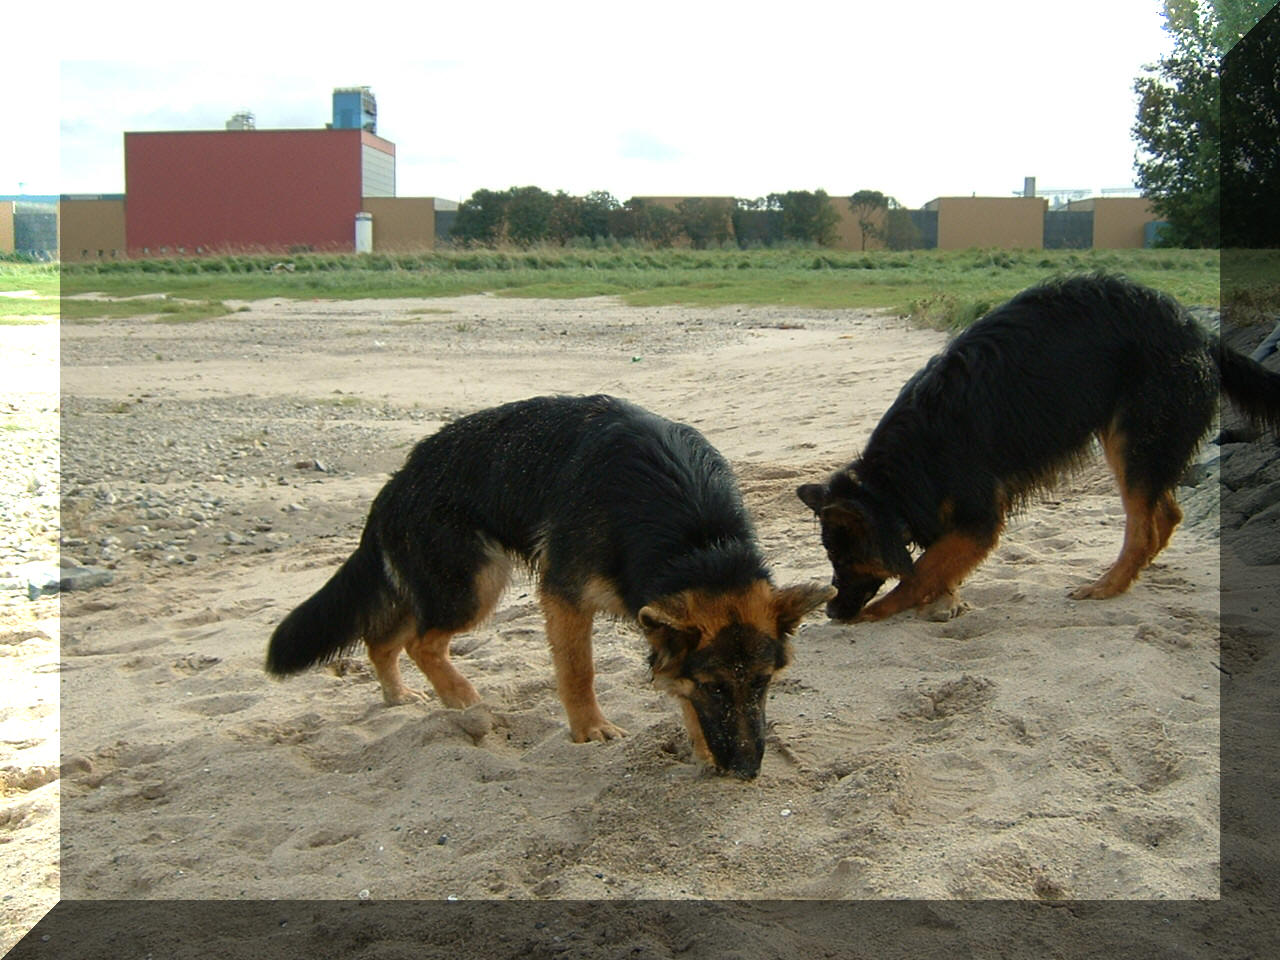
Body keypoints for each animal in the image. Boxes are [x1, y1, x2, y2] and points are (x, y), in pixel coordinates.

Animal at [267, 394, 833, 779]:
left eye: (762, 683)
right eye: (716, 686)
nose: (746, 771)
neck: (697, 542)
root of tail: (395, 482)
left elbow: (672, 682)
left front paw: (698, 743)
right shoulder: (566, 596)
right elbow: (578, 671)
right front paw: (590, 730)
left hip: (443, 586)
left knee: (381, 639)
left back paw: (399, 695)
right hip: (474, 587)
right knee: (420, 642)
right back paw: (462, 699)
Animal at [798, 273, 1280, 623]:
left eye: (842, 557)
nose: (832, 612)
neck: (893, 479)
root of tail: (1198, 331)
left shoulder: (979, 519)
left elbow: (921, 571)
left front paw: (883, 608)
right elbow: (935, 565)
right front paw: (944, 598)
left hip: (1131, 438)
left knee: (1145, 525)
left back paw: (1108, 585)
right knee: (1165, 515)